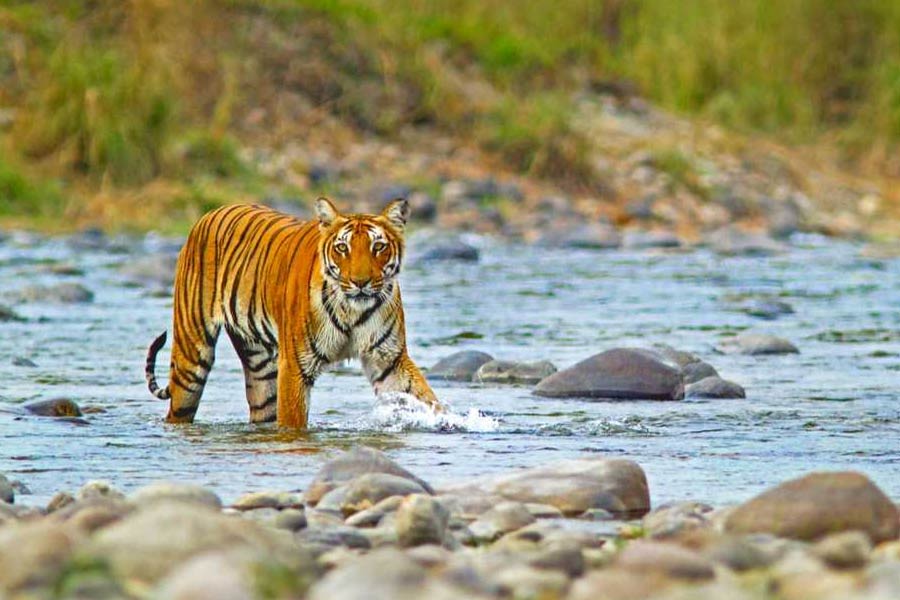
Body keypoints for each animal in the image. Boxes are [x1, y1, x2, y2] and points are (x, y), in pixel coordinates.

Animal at [144, 198, 442, 428]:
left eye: (378, 247)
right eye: (342, 247)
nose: (360, 282)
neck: (352, 310)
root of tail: (209, 213)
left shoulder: (389, 359)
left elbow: (424, 397)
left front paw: (446, 421)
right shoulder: (295, 366)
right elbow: (293, 422)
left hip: (261, 369)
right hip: (191, 358)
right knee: (179, 407)